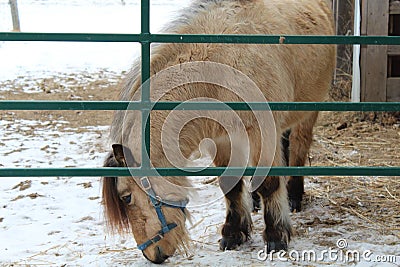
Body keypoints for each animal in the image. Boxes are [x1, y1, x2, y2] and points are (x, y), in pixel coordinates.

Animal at [102, 0, 334, 264]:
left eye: (126, 197)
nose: (152, 254)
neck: (217, 70)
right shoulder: (221, 140)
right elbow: (230, 186)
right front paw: (233, 233)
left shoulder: (261, 133)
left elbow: (270, 183)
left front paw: (276, 235)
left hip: (307, 113)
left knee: (298, 146)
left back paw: (294, 195)